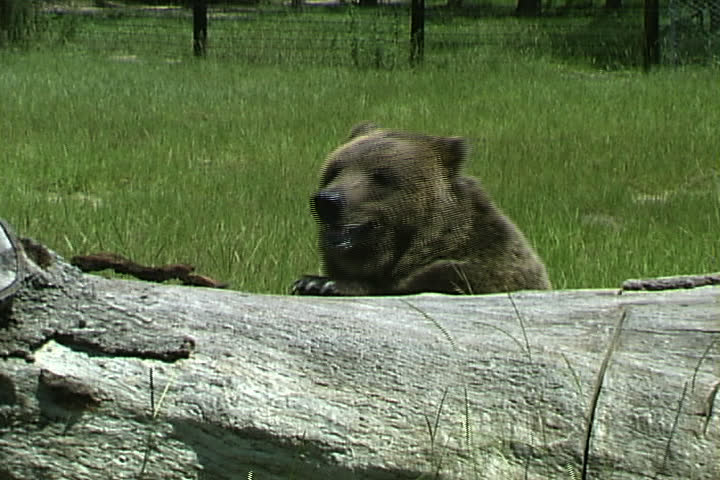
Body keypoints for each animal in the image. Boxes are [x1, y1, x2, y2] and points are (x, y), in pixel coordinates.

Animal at [291, 123, 551, 296]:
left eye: (381, 176)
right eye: (335, 170)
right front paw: (313, 281)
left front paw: (321, 283)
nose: (328, 201)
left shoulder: (484, 272)